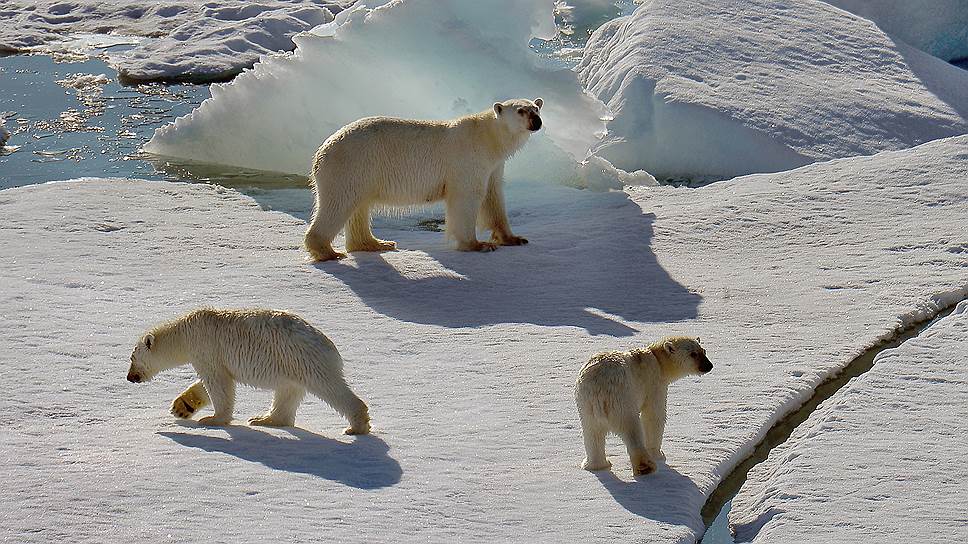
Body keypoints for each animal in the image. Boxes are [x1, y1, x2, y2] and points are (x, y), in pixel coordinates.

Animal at [129, 308, 370, 436]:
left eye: (132, 359)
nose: (129, 377)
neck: (186, 331)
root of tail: (330, 346)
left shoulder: (207, 348)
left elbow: (218, 382)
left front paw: (212, 419)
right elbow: (212, 382)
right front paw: (182, 407)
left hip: (304, 359)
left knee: (329, 388)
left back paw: (356, 426)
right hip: (291, 366)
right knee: (287, 393)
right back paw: (264, 419)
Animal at [304, 98, 544, 262]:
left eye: (536, 107)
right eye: (521, 110)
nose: (537, 121)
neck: (487, 138)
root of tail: (320, 153)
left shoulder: (494, 166)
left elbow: (494, 198)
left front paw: (514, 239)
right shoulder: (468, 158)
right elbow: (468, 196)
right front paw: (477, 244)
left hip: (361, 173)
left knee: (359, 207)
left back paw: (376, 243)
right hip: (350, 166)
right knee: (338, 203)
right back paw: (329, 252)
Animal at [576, 338, 712, 474]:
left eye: (703, 351)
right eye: (693, 354)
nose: (709, 366)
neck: (658, 360)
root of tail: (598, 388)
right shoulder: (654, 383)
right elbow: (654, 416)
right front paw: (658, 454)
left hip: (586, 404)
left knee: (592, 433)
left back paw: (597, 465)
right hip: (622, 398)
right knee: (631, 429)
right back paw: (645, 467)